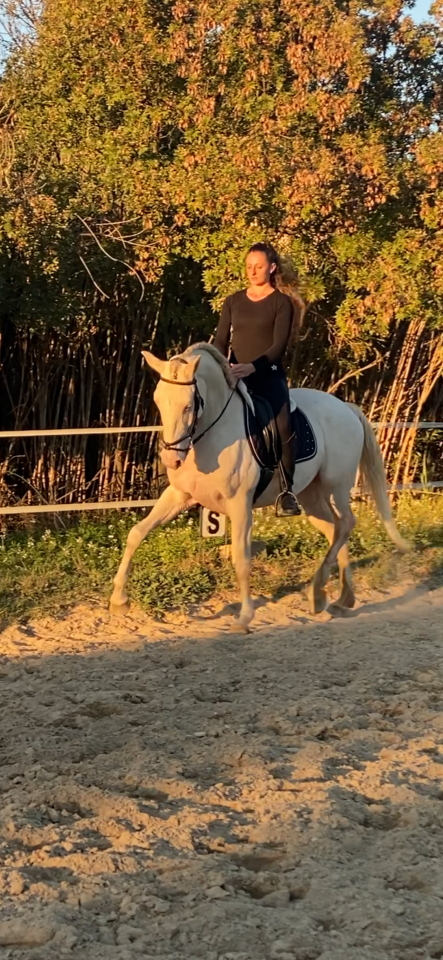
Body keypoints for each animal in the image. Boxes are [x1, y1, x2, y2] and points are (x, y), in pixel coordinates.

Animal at [110, 343, 409, 631]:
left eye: (188, 406)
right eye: (158, 401)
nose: (171, 459)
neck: (213, 433)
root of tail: (346, 407)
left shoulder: (240, 504)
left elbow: (241, 560)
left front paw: (244, 618)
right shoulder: (180, 495)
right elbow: (136, 533)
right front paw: (119, 601)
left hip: (336, 485)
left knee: (346, 523)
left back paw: (320, 592)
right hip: (311, 496)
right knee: (335, 529)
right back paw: (340, 598)